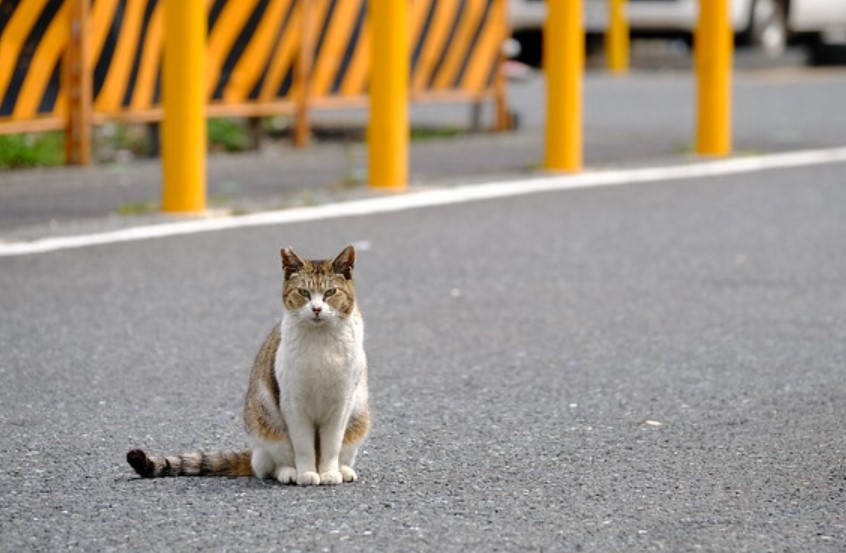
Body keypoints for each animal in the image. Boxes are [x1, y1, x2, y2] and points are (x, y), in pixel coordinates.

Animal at [124, 244, 370, 486]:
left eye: (330, 293)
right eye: (303, 293)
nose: (317, 309)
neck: (321, 341)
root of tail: (254, 453)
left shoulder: (341, 403)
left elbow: (331, 446)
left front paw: (328, 473)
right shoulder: (293, 402)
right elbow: (304, 447)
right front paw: (308, 473)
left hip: (358, 415)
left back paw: (344, 470)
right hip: (266, 422)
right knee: (269, 466)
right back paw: (288, 472)